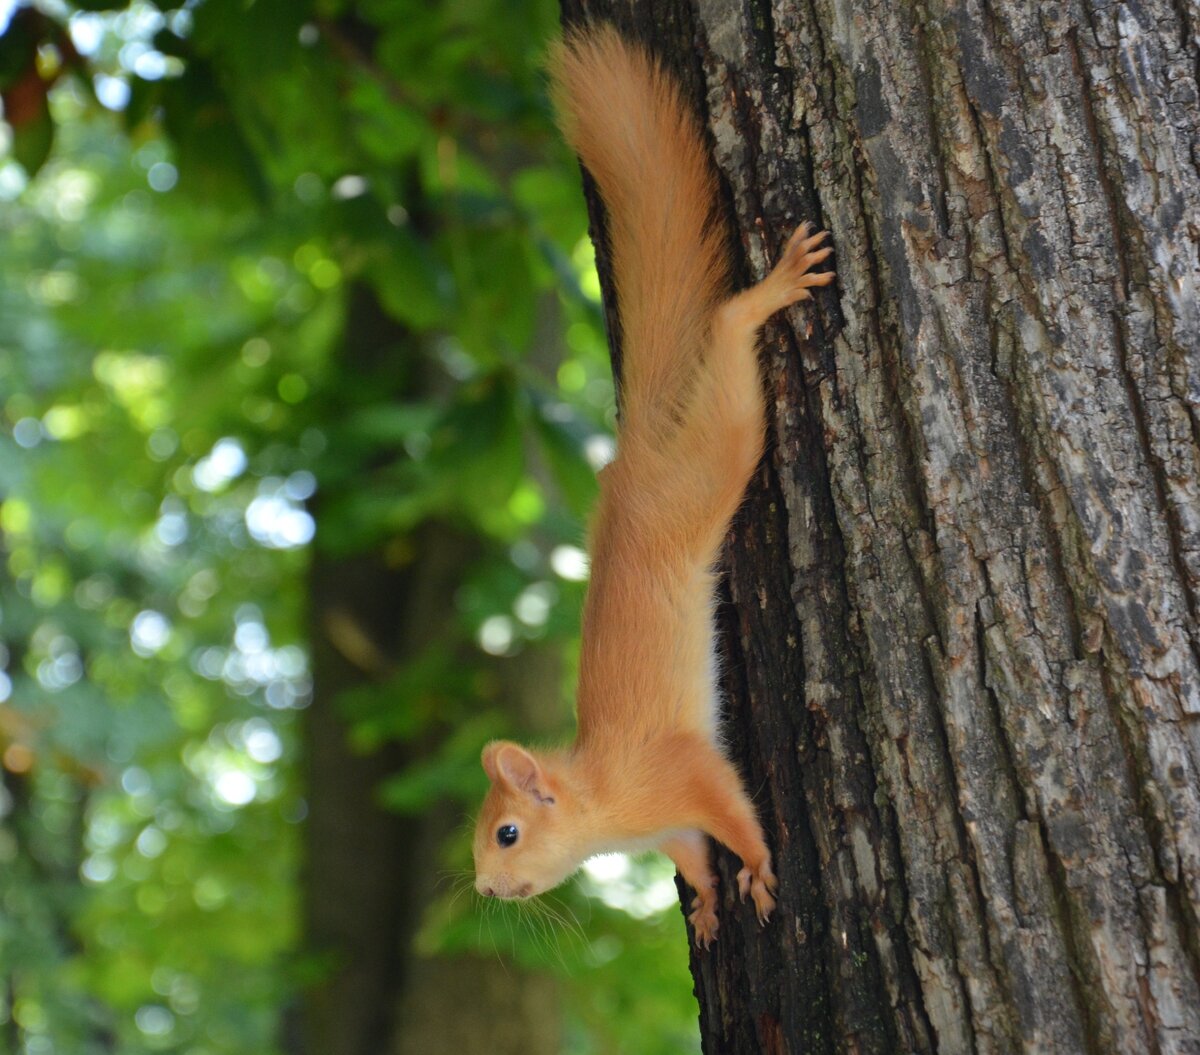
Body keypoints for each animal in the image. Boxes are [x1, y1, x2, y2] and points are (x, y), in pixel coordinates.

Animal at [470, 24, 835, 950]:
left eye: (507, 831)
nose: (486, 888)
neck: (605, 801)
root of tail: (635, 458)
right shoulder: (665, 825)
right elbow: (691, 854)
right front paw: (706, 901)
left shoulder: (682, 770)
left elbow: (732, 809)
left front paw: (760, 869)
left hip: (711, 464)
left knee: (730, 346)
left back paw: (769, 292)